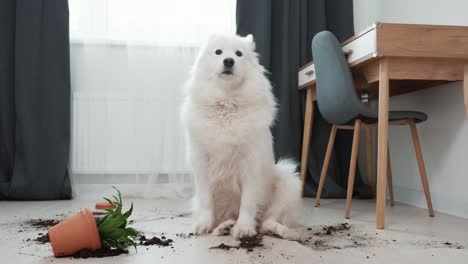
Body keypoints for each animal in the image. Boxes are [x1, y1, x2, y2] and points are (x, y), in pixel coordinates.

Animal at [181, 33, 302, 239]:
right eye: (218, 52)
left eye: (239, 54)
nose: (229, 61)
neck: (227, 103)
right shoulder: (202, 163)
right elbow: (206, 201)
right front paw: (204, 225)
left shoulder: (250, 163)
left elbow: (247, 202)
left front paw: (244, 228)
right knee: (228, 218)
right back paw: (223, 227)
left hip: (287, 180)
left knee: (268, 219)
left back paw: (278, 229)